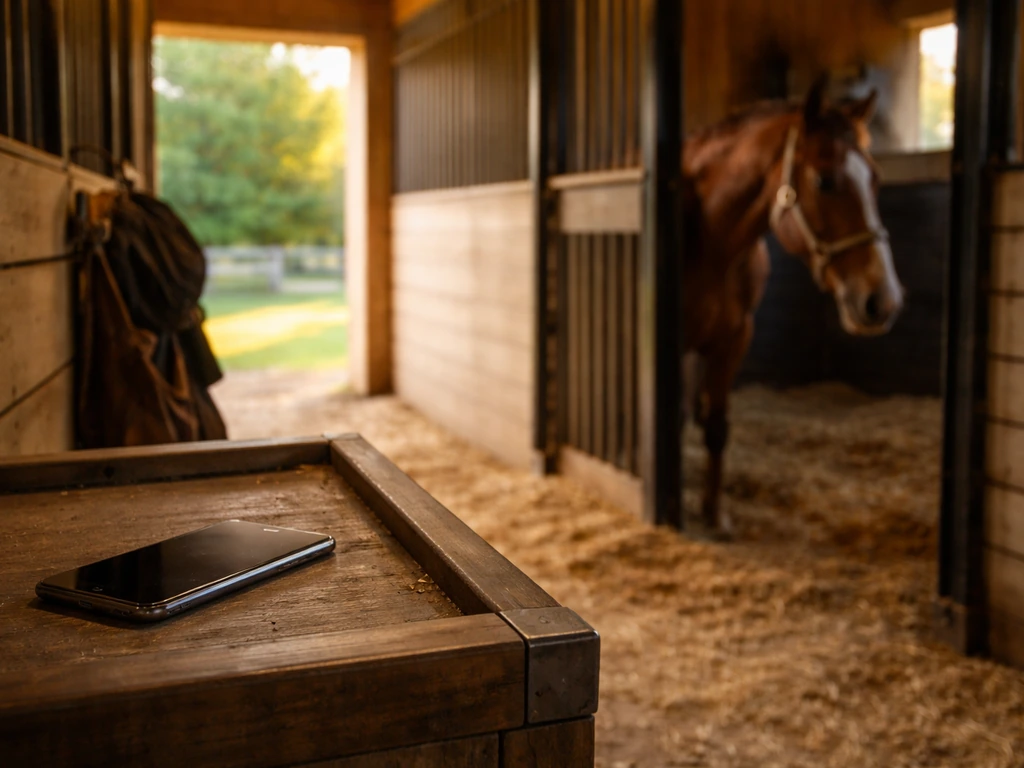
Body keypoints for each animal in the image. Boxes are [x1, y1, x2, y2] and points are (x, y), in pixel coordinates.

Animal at [681, 77, 904, 536]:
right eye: (824, 180)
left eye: (875, 178)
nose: (882, 300)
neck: (711, 243)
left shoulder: (735, 338)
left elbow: (718, 427)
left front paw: (715, 514)